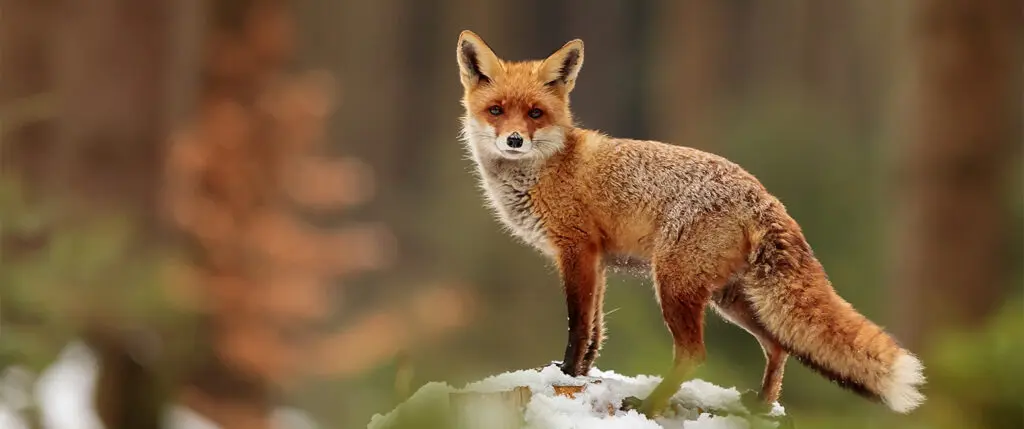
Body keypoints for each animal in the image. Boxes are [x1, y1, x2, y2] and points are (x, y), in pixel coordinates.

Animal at [454, 30, 925, 417]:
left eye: (535, 113)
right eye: (496, 110)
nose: (515, 140)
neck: (547, 168)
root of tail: (764, 195)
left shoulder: (577, 250)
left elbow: (578, 325)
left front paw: (568, 374)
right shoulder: (597, 260)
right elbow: (596, 330)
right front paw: (583, 375)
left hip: (675, 284)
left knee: (695, 354)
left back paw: (650, 405)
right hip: (731, 298)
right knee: (777, 344)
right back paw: (761, 405)